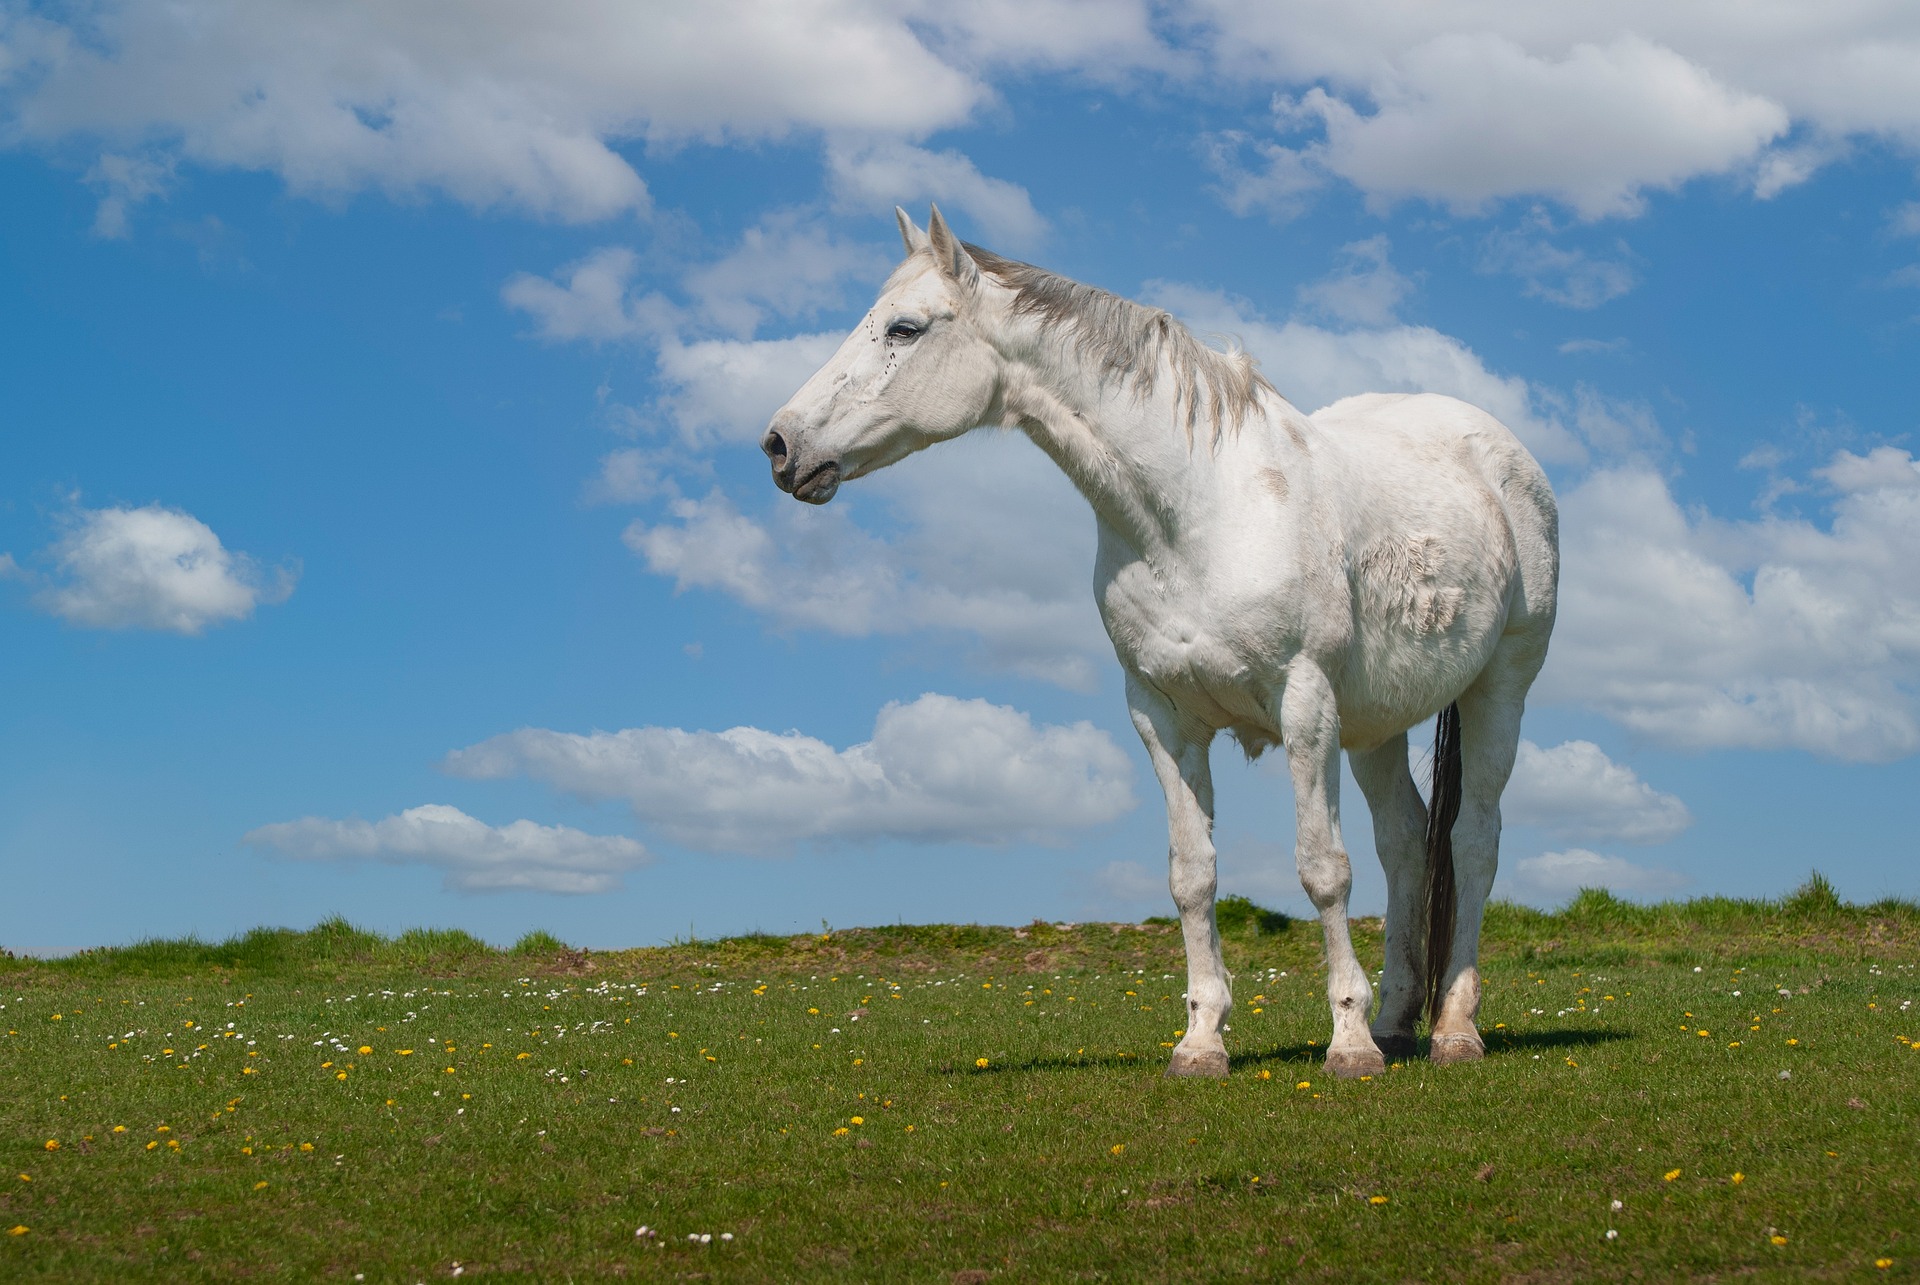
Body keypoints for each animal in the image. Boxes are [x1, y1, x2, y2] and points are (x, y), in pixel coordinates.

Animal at [761, 206, 1558, 1079]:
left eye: (903, 328)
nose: (780, 444)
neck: (1196, 512)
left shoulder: (1306, 704)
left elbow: (1322, 868)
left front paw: (1345, 1044)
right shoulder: (1163, 718)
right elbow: (1192, 876)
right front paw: (1202, 1040)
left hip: (1498, 691)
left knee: (1472, 842)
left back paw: (1452, 1027)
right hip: (1376, 726)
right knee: (1408, 846)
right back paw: (1396, 1021)